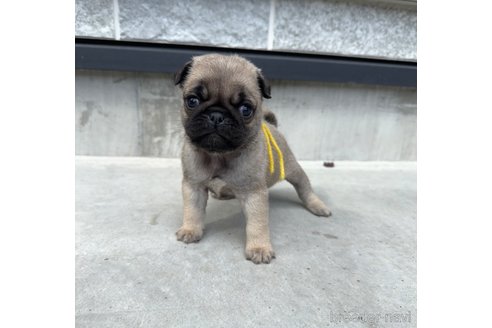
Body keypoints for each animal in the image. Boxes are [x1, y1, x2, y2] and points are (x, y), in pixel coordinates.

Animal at [173, 53, 330, 264]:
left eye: (245, 109)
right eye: (192, 101)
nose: (216, 115)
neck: (219, 156)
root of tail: (271, 125)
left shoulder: (254, 194)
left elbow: (257, 223)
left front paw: (259, 248)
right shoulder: (193, 186)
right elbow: (193, 211)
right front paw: (190, 229)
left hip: (293, 169)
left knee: (305, 187)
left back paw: (317, 205)